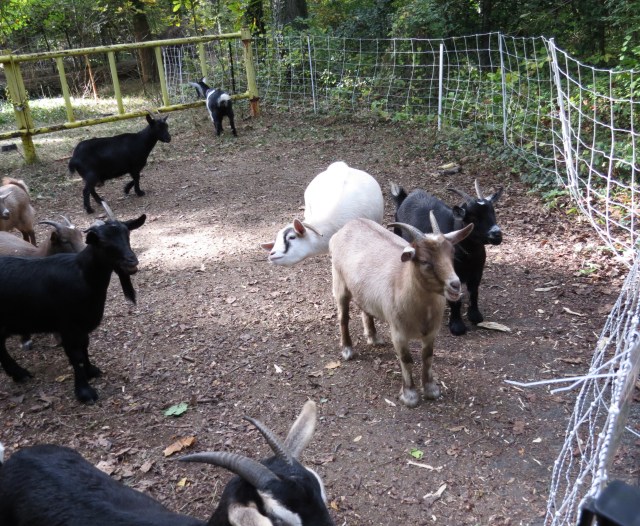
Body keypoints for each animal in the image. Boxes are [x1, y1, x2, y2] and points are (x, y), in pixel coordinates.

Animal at [0, 203, 146, 402]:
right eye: (102, 242)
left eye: (127, 235)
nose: (131, 262)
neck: (83, 276)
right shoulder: (67, 325)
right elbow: (75, 355)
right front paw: (85, 392)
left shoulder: (81, 325)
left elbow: (84, 345)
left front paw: (91, 370)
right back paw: (20, 373)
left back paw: (18, 374)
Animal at [330, 217, 473, 407]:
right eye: (425, 261)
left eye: (452, 254)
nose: (455, 285)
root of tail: (348, 225)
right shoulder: (398, 333)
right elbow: (406, 359)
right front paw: (410, 395)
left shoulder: (431, 333)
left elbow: (427, 356)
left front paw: (431, 389)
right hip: (339, 282)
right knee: (343, 317)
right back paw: (347, 350)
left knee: (365, 308)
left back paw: (373, 337)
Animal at [391, 180, 503, 336]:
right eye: (473, 217)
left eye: (493, 212)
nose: (497, 234)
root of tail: (404, 198)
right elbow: (456, 300)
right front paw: (457, 326)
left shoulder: (477, 271)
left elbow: (474, 292)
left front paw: (475, 316)